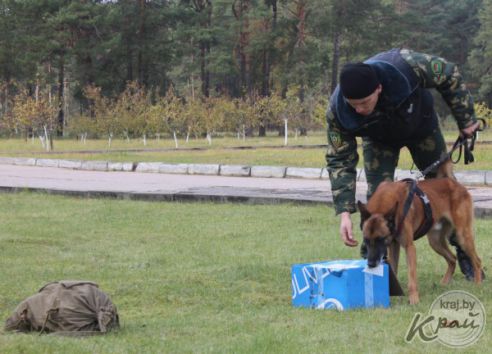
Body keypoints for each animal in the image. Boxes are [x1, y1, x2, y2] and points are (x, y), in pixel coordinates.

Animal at [356, 163, 482, 304]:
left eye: (381, 239)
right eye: (366, 240)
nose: (371, 264)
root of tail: (453, 183)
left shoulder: (409, 247)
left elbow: (412, 277)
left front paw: (414, 299)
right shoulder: (393, 246)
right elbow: (393, 269)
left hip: (462, 236)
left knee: (477, 261)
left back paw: (477, 284)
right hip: (435, 242)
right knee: (452, 259)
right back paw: (444, 283)